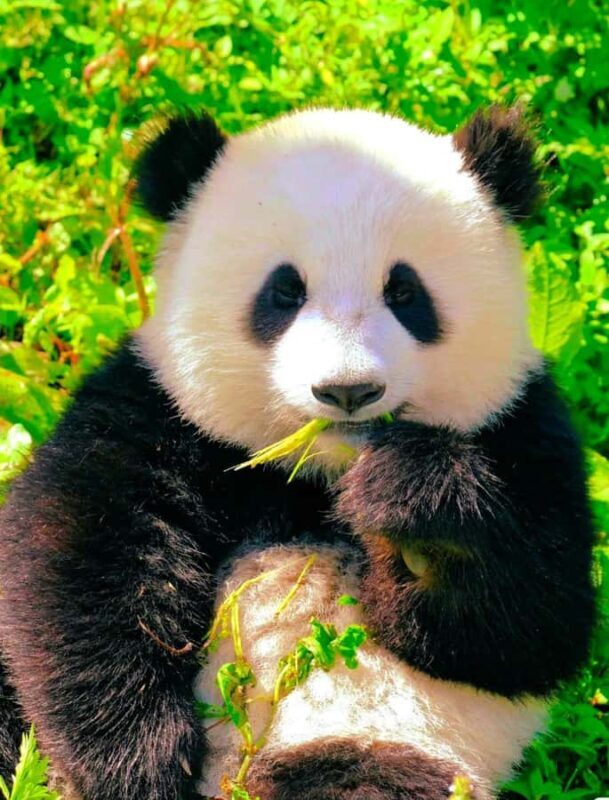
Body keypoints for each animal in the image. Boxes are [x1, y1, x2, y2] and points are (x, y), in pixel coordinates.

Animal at [0, 105, 596, 800]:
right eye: (284, 292)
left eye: (405, 293)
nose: (348, 390)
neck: (313, 475)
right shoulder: (156, 411)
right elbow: (78, 567)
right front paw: (134, 764)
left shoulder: (524, 429)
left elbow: (531, 628)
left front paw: (412, 509)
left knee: (365, 779)